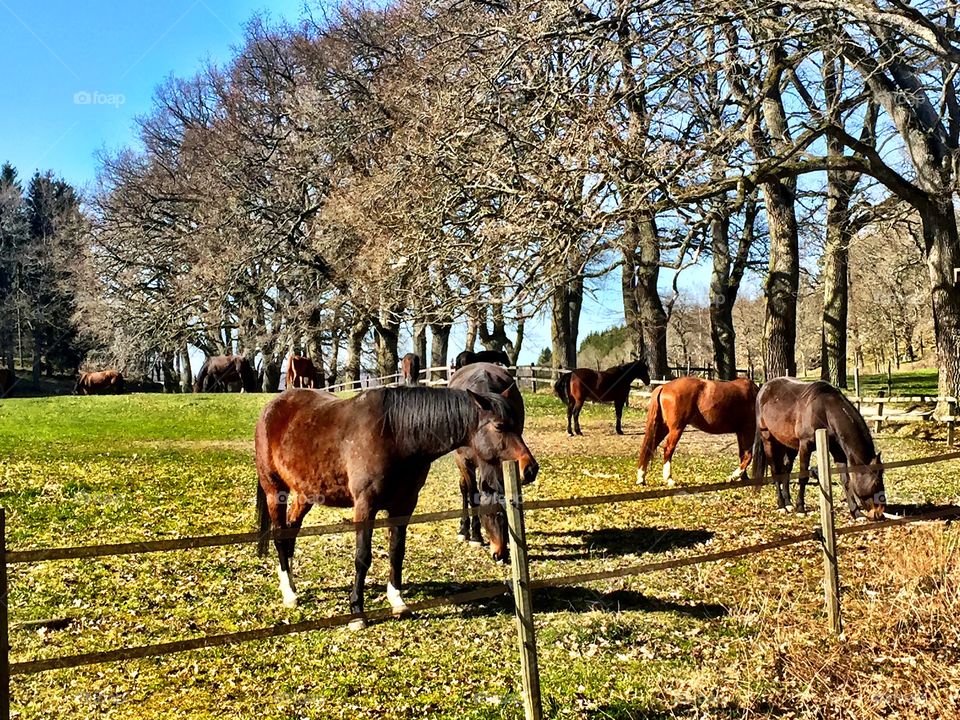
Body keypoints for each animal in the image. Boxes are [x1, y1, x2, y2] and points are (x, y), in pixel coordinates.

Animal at [254, 384, 539, 629]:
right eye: (500, 426)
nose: (530, 468)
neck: (395, 434)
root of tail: (271, 408)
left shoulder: (404, 506)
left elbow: (396, 551)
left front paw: (397, 601)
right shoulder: (365, 506)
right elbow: (362, 557)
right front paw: (357, 612)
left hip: (306, 494)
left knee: (291, 532)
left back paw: (292, 584)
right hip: (275, 491)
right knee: (280, 537)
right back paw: (289, 593)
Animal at [449, 362, 531, 553]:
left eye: (517, 424)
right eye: (499, 426)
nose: (530, 468)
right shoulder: (464, 462)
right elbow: (473, 495)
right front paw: (475, 536)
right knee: (464, 489)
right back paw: (464, 530)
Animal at [752, 377, 886, 520]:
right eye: (876, 483)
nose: (879, 513)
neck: (825, 411)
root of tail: (763, 389)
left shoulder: (838, 452)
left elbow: (846, 481)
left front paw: (856, 513)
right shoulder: (805, 446)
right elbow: (803, 477)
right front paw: (800, 509)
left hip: (788, 445)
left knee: (786, 468)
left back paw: (788, 503)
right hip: (768, 440)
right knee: (775, 470)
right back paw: (781, 506)